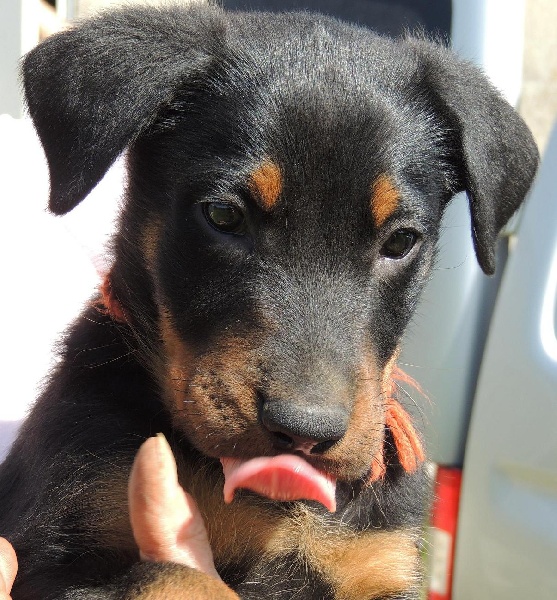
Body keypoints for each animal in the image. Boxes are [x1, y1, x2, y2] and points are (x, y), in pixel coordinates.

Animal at [0, 2, 540, 596]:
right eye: (222, 215)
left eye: (400, 241)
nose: (304, 432)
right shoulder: (53, 550)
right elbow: (178, 574)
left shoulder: (382, 560)